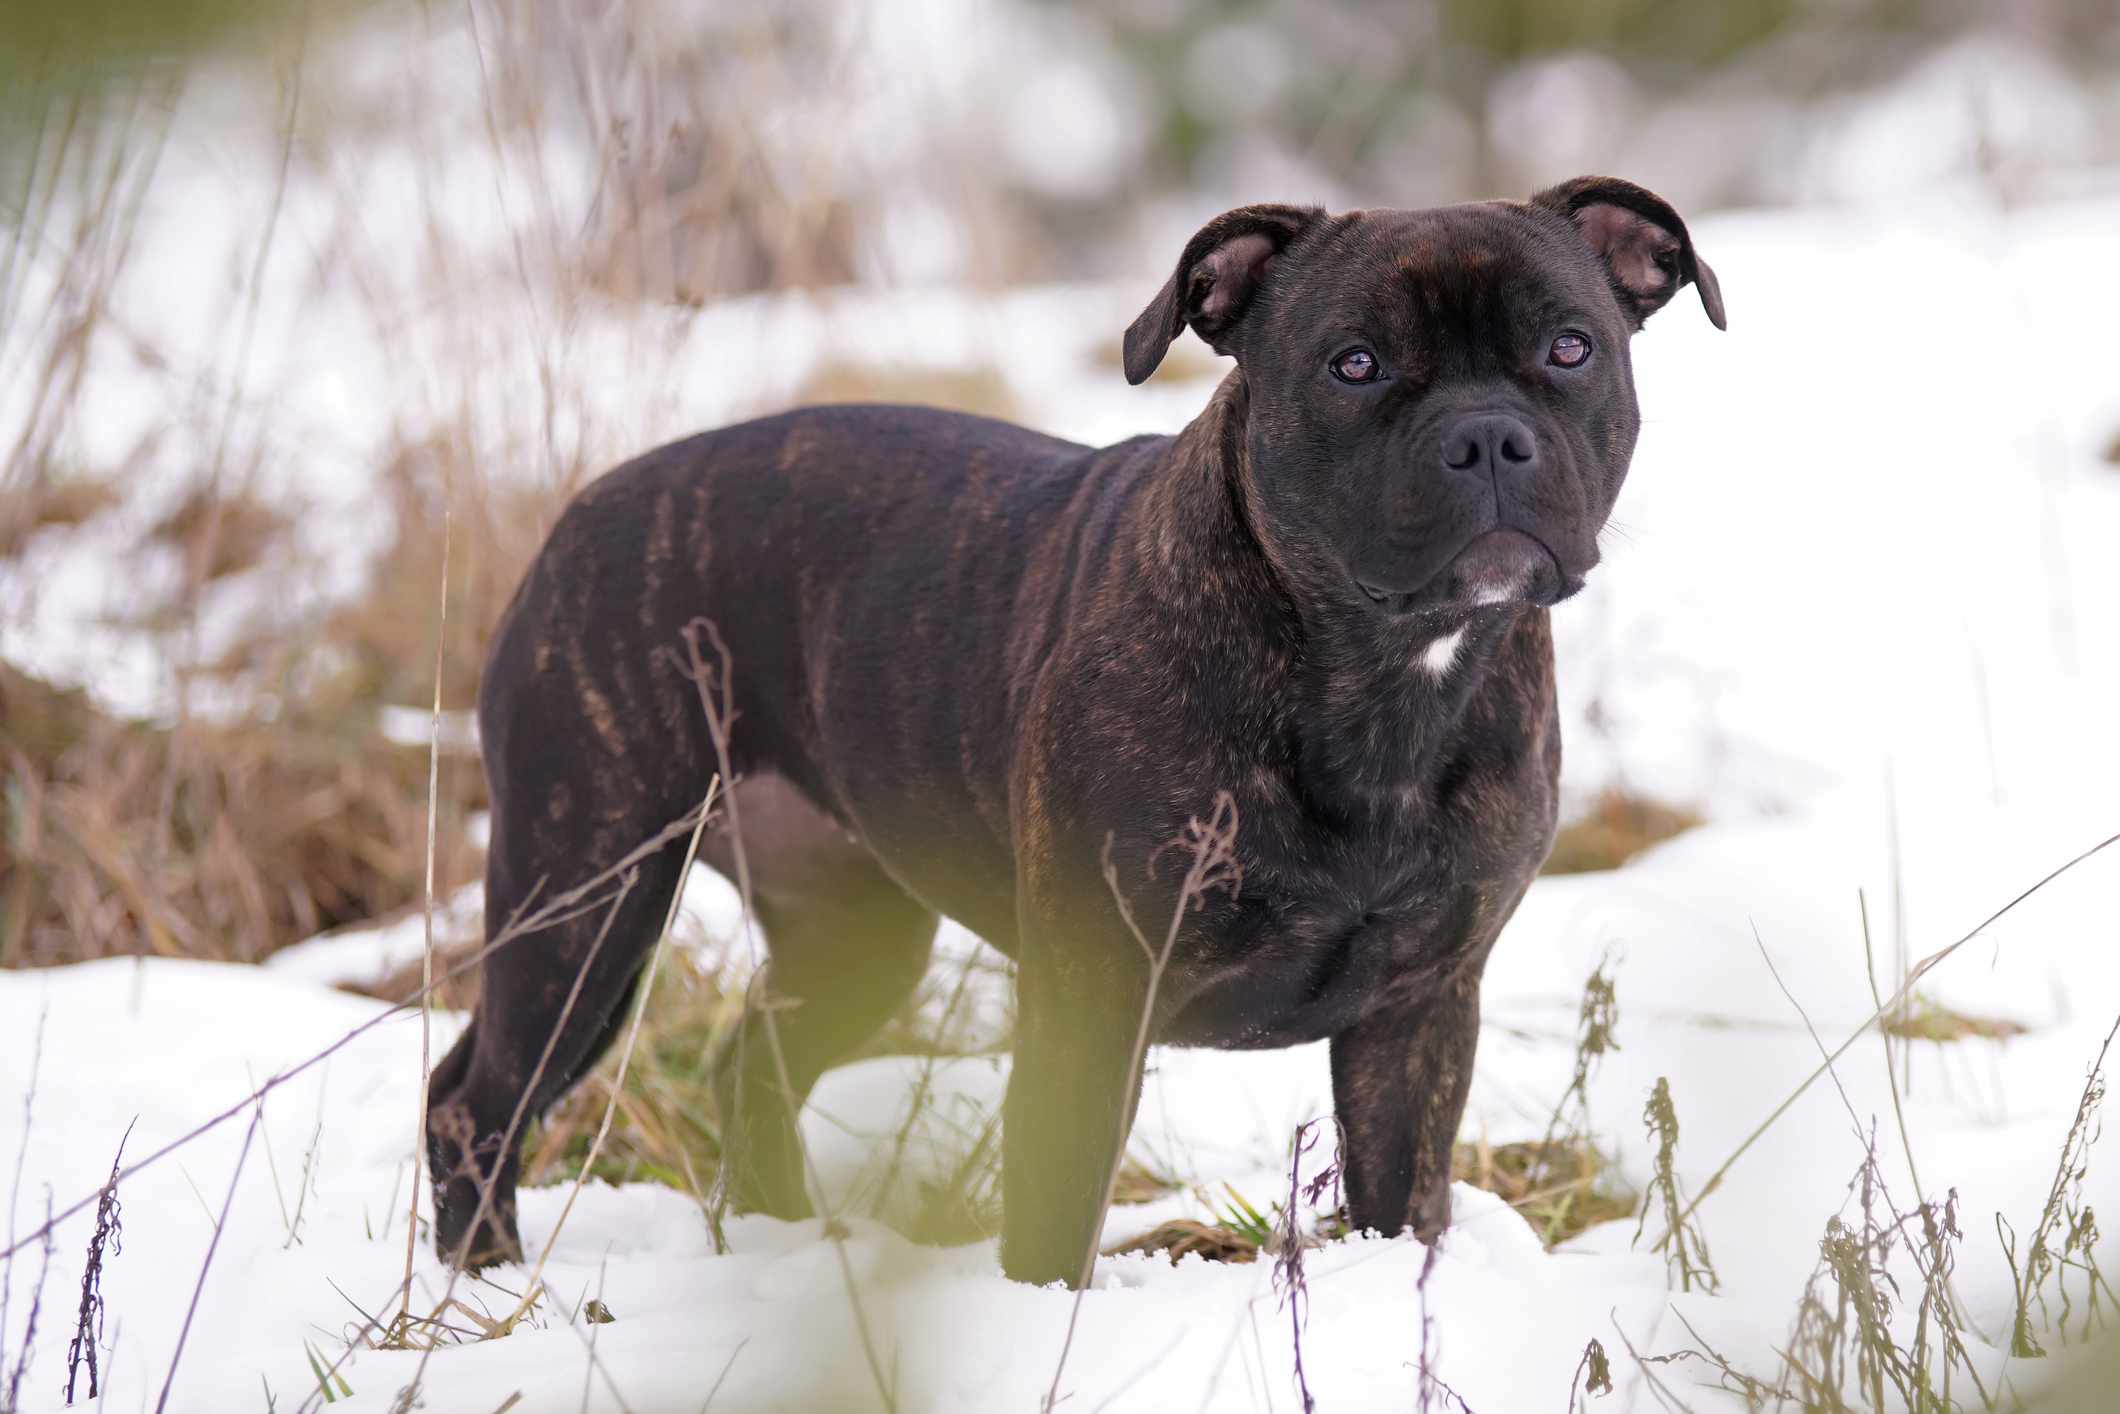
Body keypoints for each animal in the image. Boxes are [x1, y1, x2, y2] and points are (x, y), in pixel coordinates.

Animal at [426, 173, 1721, 1280]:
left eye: (1569, 347)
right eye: (1351, 364)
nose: (1485, 435)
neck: (1381, 672)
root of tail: (586, 507)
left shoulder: (1420, 1011)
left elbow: (1399, 1205)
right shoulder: (1091, 1001)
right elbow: (1055, 1222)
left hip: (852, 934)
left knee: (750, 1065)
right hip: (586, 897)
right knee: (476, 1094)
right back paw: (485, 1281)